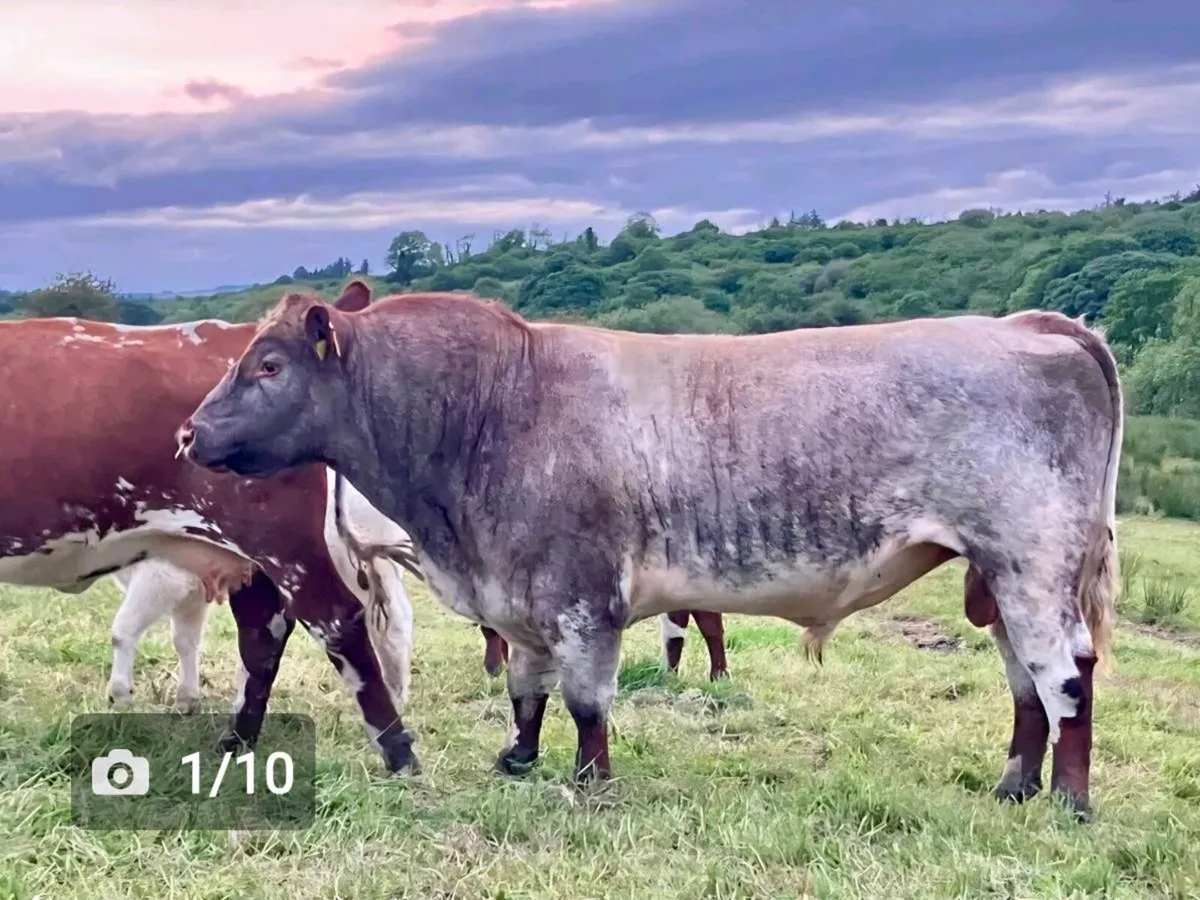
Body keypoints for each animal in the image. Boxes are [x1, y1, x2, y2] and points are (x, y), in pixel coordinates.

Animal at [0, 283, 421, 773]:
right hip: (253, 557)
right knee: (263, 633)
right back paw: (236, 742)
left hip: (285, 544)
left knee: (338, 624)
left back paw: (398, 754)